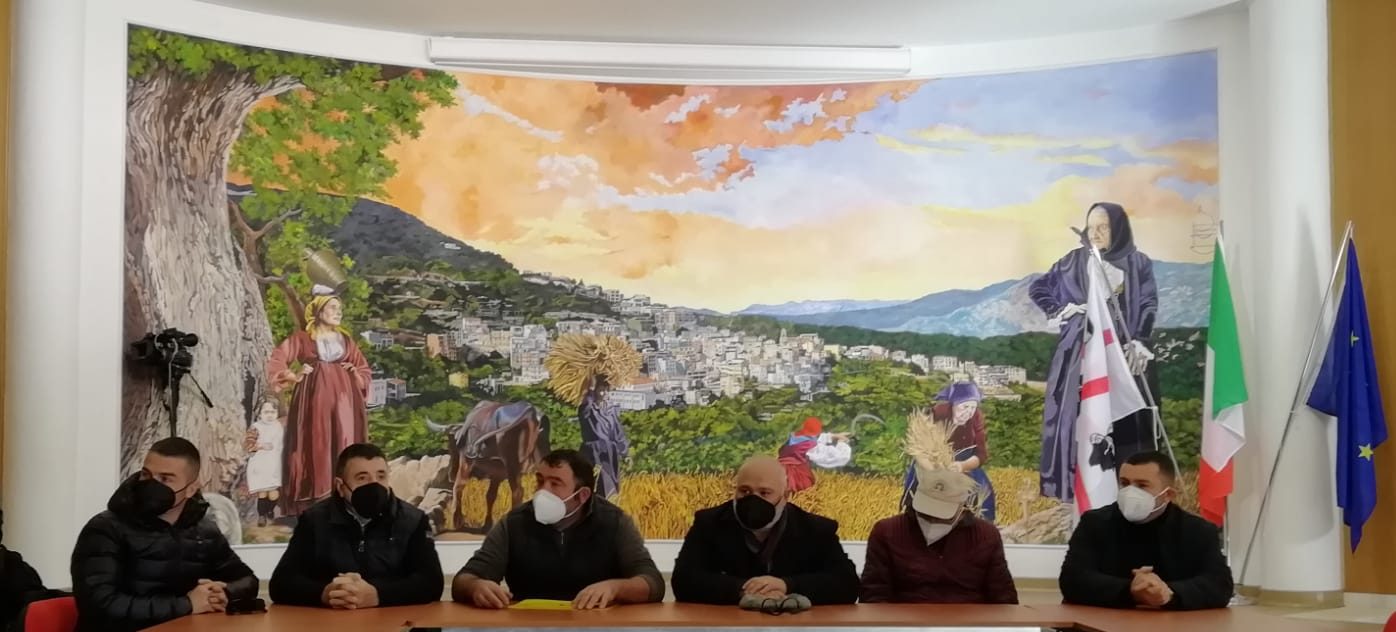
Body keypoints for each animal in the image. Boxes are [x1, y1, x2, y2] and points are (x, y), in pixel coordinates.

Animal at [425, 401, 550, 533]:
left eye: (451, 444)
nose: (451, 474)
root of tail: (532, 412)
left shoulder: (466, 461)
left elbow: (459, 486)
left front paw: (457, 521)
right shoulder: (497, 475)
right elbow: (490, 496)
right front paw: (487, 525)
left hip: (513, 465)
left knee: (518, 492)